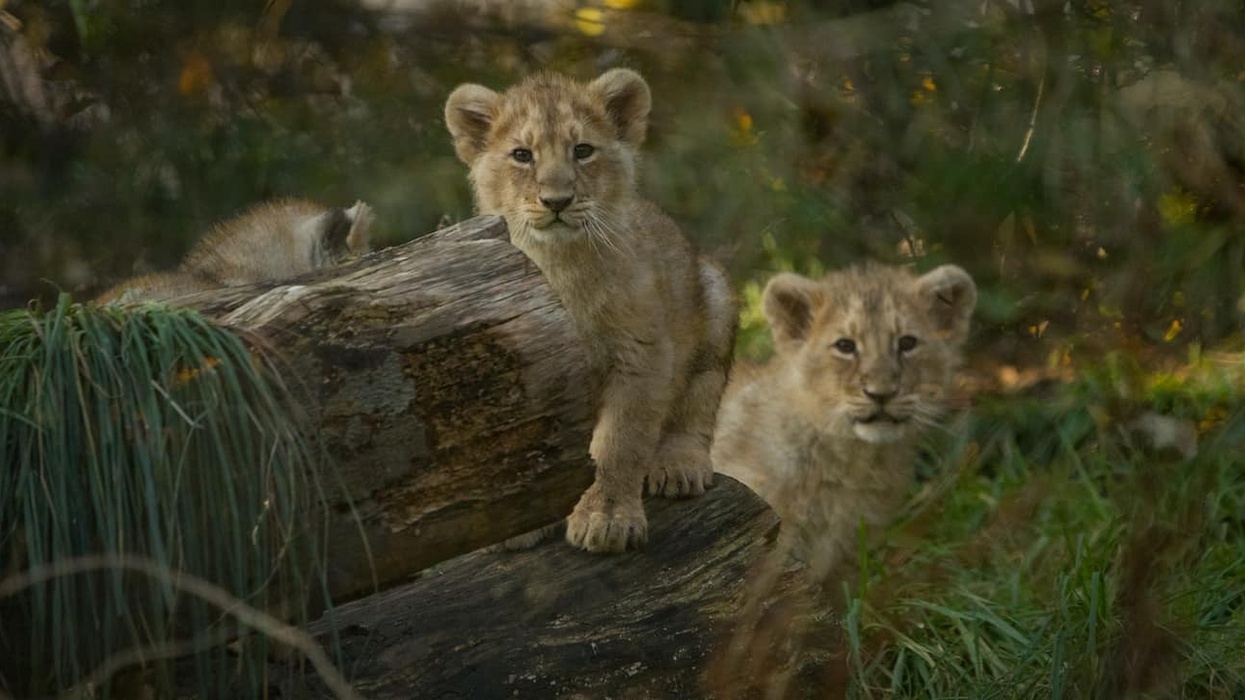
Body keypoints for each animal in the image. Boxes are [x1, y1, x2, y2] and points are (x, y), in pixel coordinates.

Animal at [445, 69, 737, 553]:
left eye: (582, 150)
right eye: (522, 155)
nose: (557, 200)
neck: (560, 266)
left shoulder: (640, 355)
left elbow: (618, 444)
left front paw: (607, 518)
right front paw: (515, 525)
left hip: (714, 294)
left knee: (698, 402)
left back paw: (679, 464)